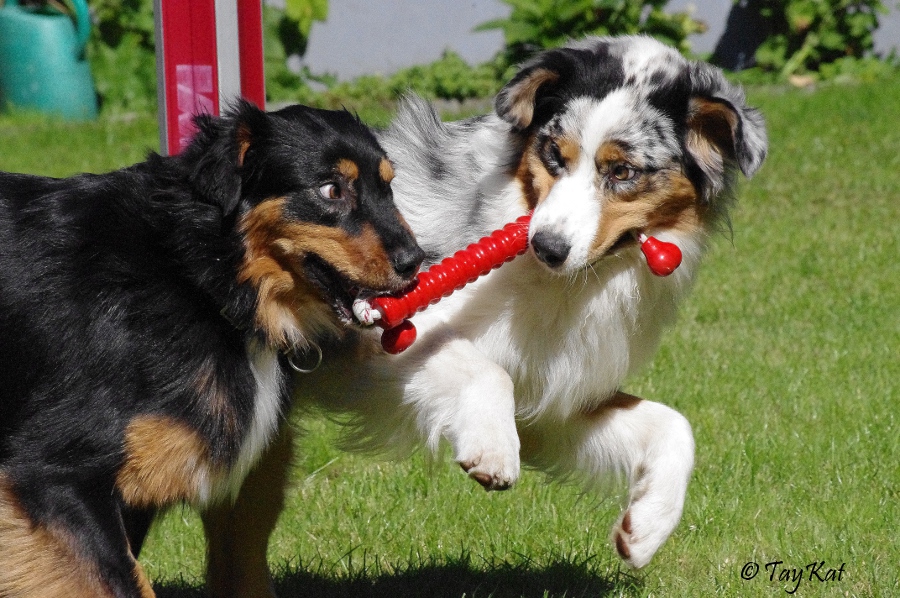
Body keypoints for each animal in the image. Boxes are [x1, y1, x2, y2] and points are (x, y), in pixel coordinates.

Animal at [0, 101, 422, 596]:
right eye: (331, 190)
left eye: (388, 187)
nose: (415, 261)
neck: (199, 273)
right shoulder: (53, 473)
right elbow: (122, 582)